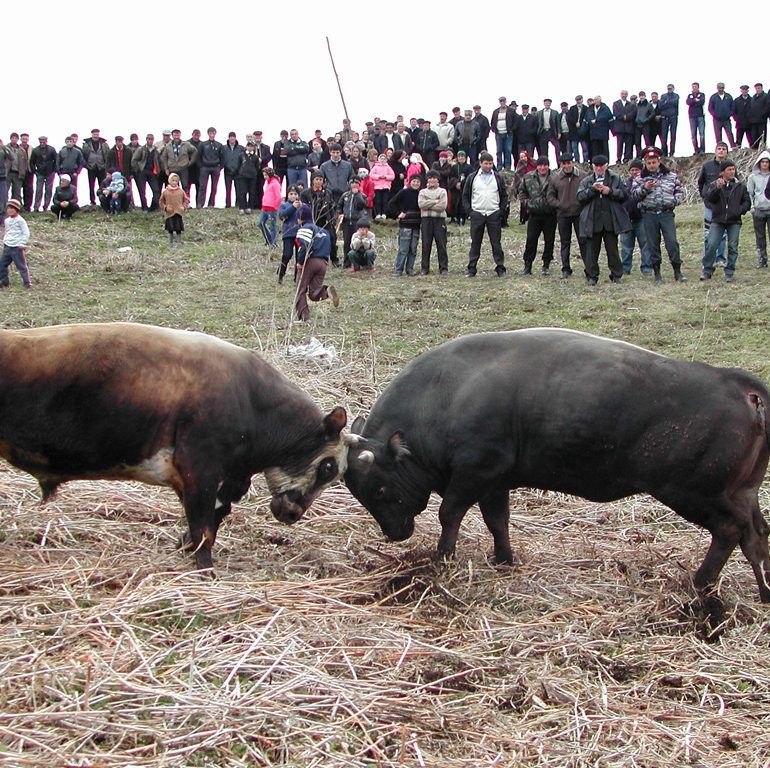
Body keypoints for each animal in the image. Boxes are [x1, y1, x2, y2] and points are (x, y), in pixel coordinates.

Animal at [344, 330, 768, 612]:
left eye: (378, 489)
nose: (394, 533)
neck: (445, 393)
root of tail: (738, 385)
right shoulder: (494, 482)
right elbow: (497, 520)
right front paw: (504, 559)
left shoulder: (473, 474)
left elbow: (450, 515)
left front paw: (441, 560)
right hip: (741, 494)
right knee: (756, 536)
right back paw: (762, 593)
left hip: (693, 493)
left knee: (730, 531)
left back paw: (700, 583)